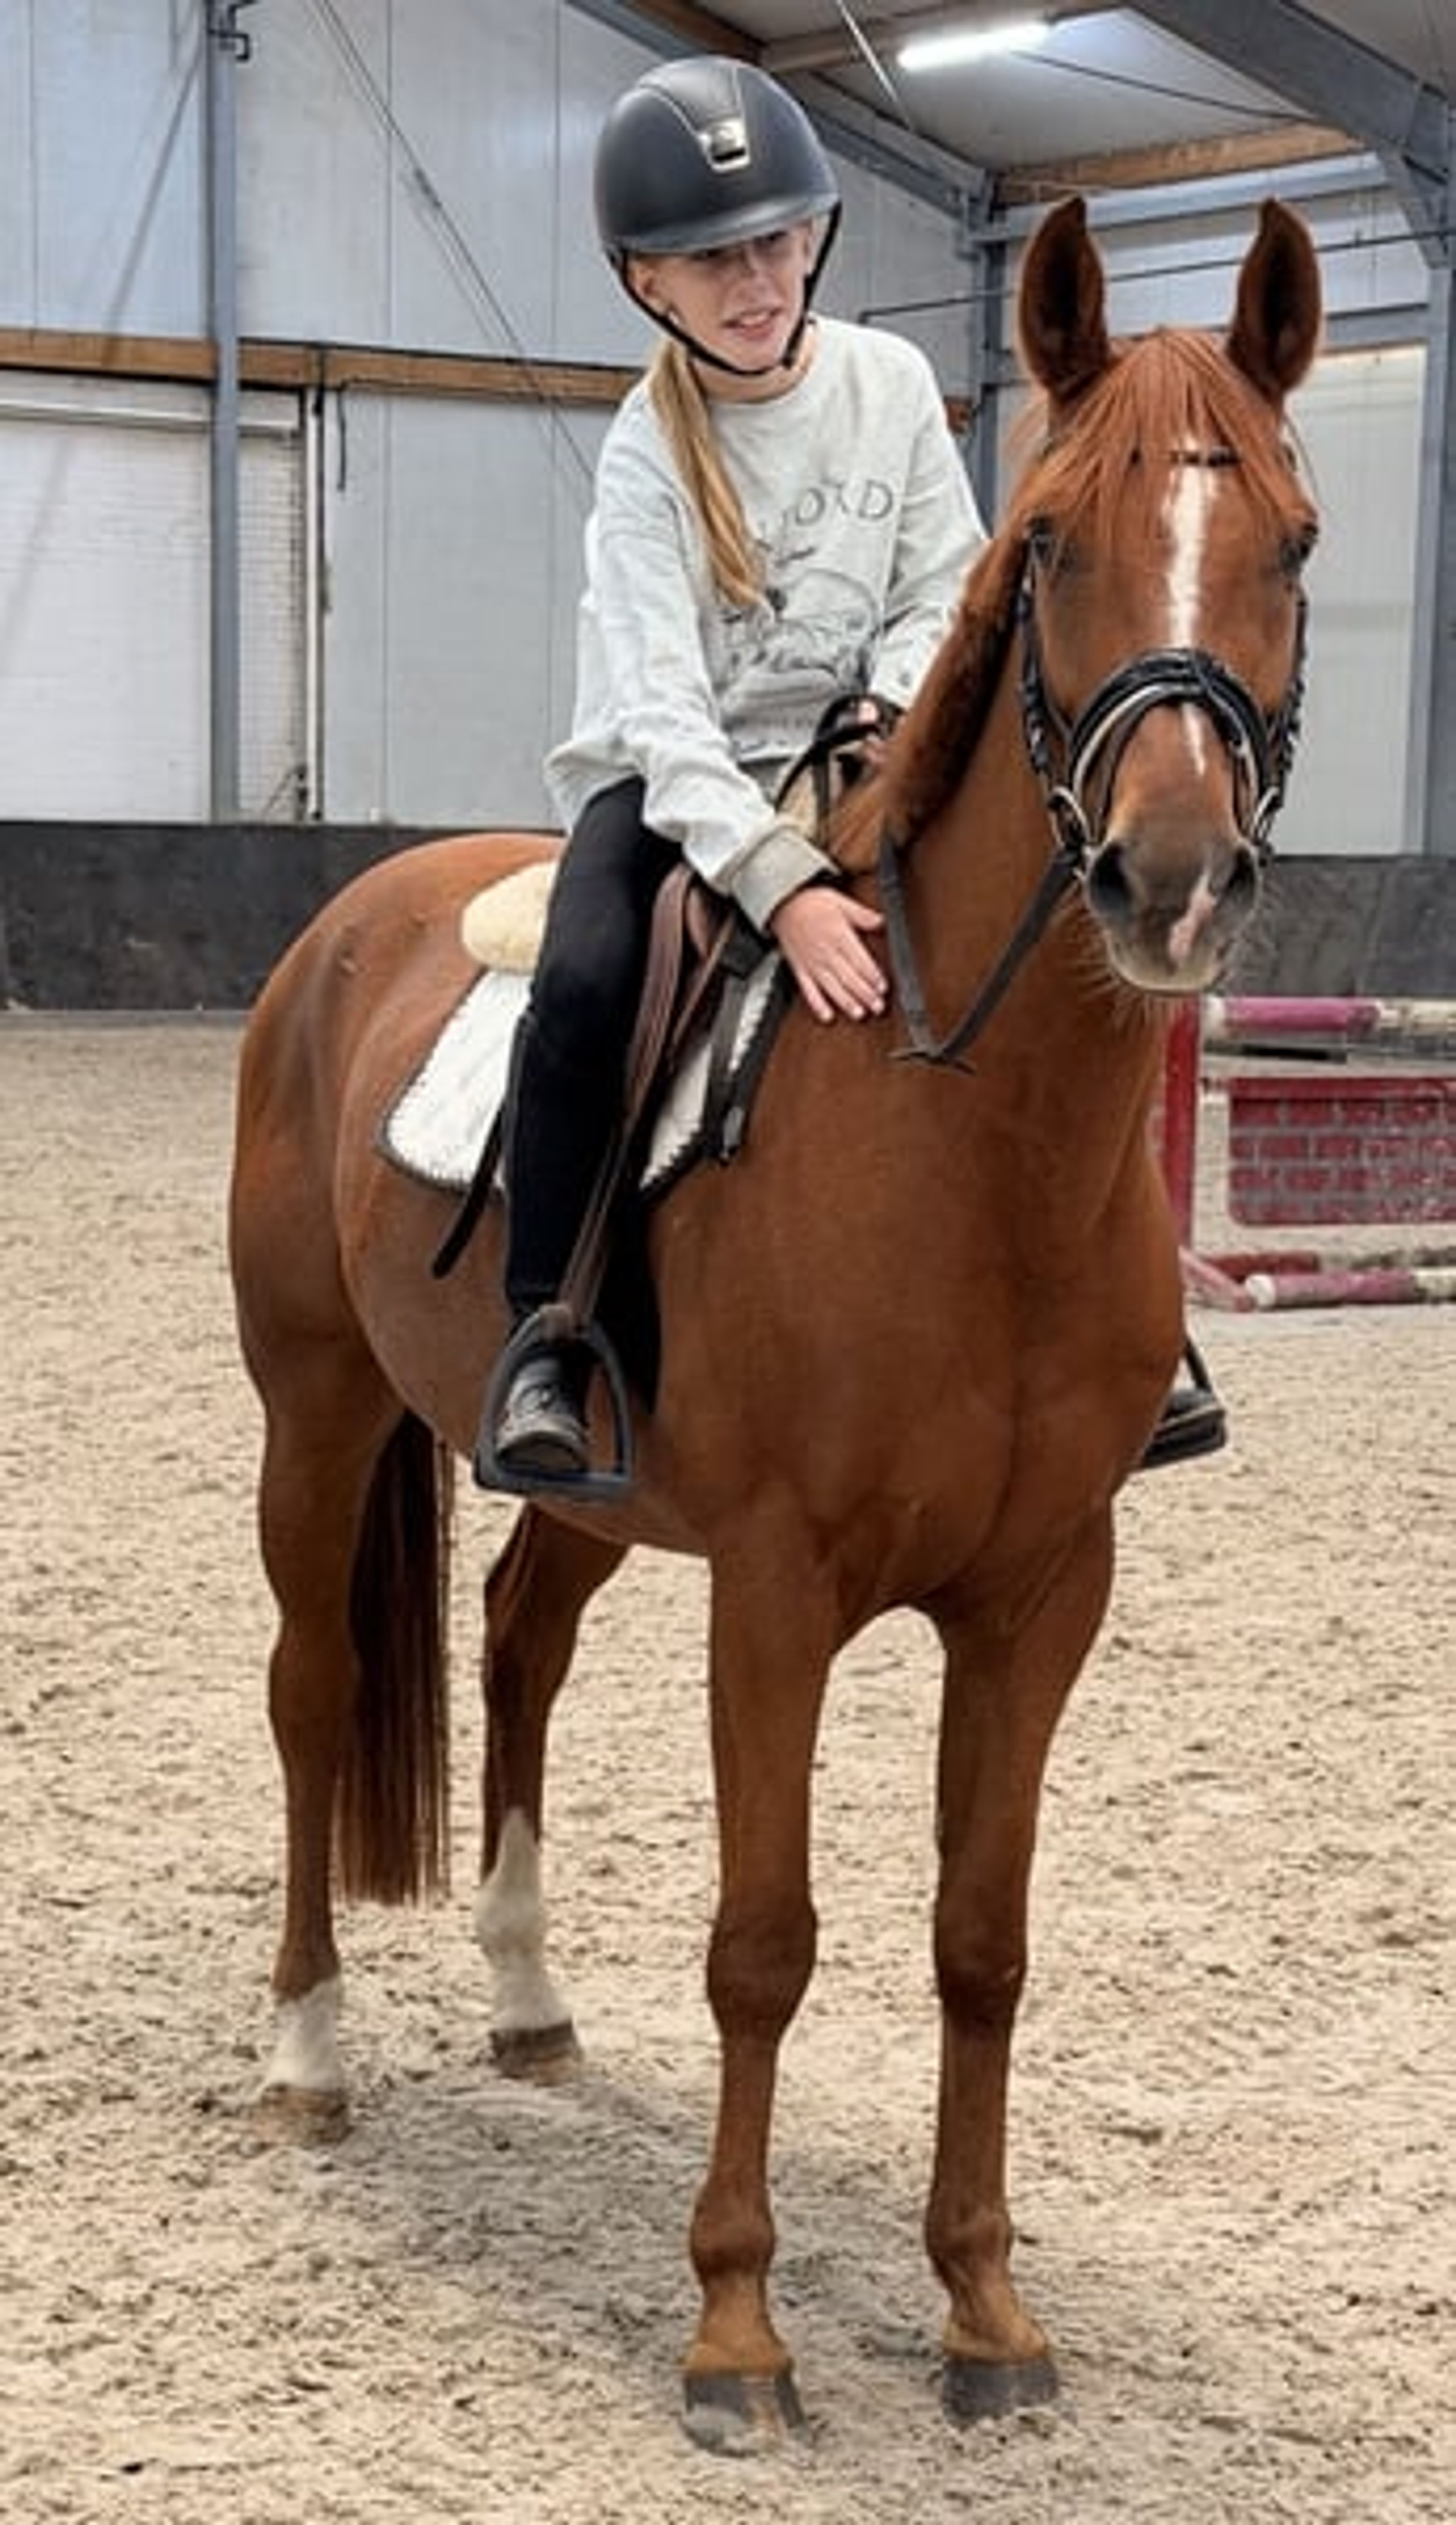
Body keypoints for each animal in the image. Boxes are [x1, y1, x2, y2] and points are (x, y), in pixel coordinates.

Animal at [228, 195, 1321, 2446]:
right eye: (1054, 543)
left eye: (1298, 539)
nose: (1170, 877)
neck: (971, 1140)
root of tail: (347, 923)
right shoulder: (781, 1587)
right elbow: (766, 1937)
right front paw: (737, 2330)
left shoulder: (1039, 1592)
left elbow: (981, 1938)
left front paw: (985, 2309)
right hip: (316, 1408)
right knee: (309, 1690)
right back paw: (310, 2050)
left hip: (584, 1476)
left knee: (519, 1639)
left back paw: (529, 1996)